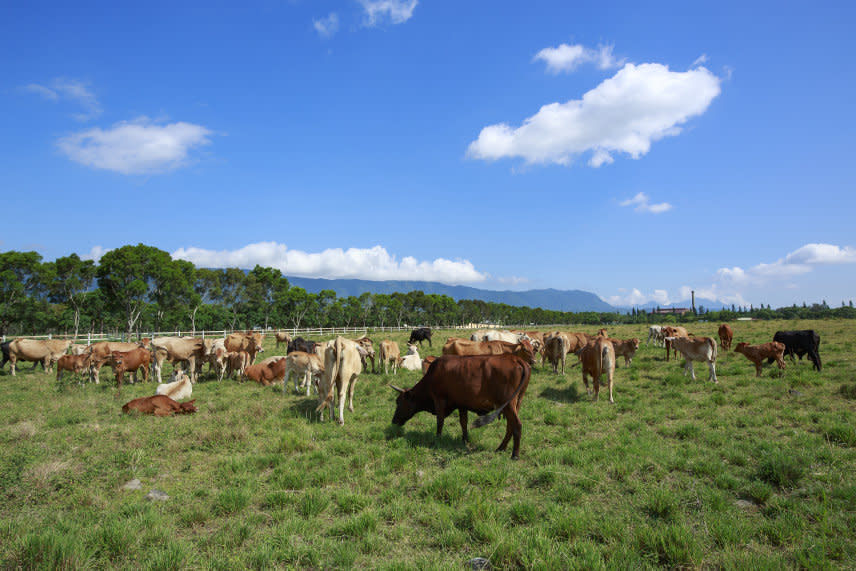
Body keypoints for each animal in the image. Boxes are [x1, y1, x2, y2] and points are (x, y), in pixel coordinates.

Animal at [392, 354, 532, 460]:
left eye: (398, 402)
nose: (393, 421)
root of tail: (515, 358)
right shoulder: (462, 404)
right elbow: (463, 422)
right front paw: (465, 440)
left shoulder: (439, 400)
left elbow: (440, 421)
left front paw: (437, 438)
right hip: (515, 403)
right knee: (510, 426)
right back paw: (501, 448)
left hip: (508, 404)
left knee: (517, 425)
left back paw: (514, 455)